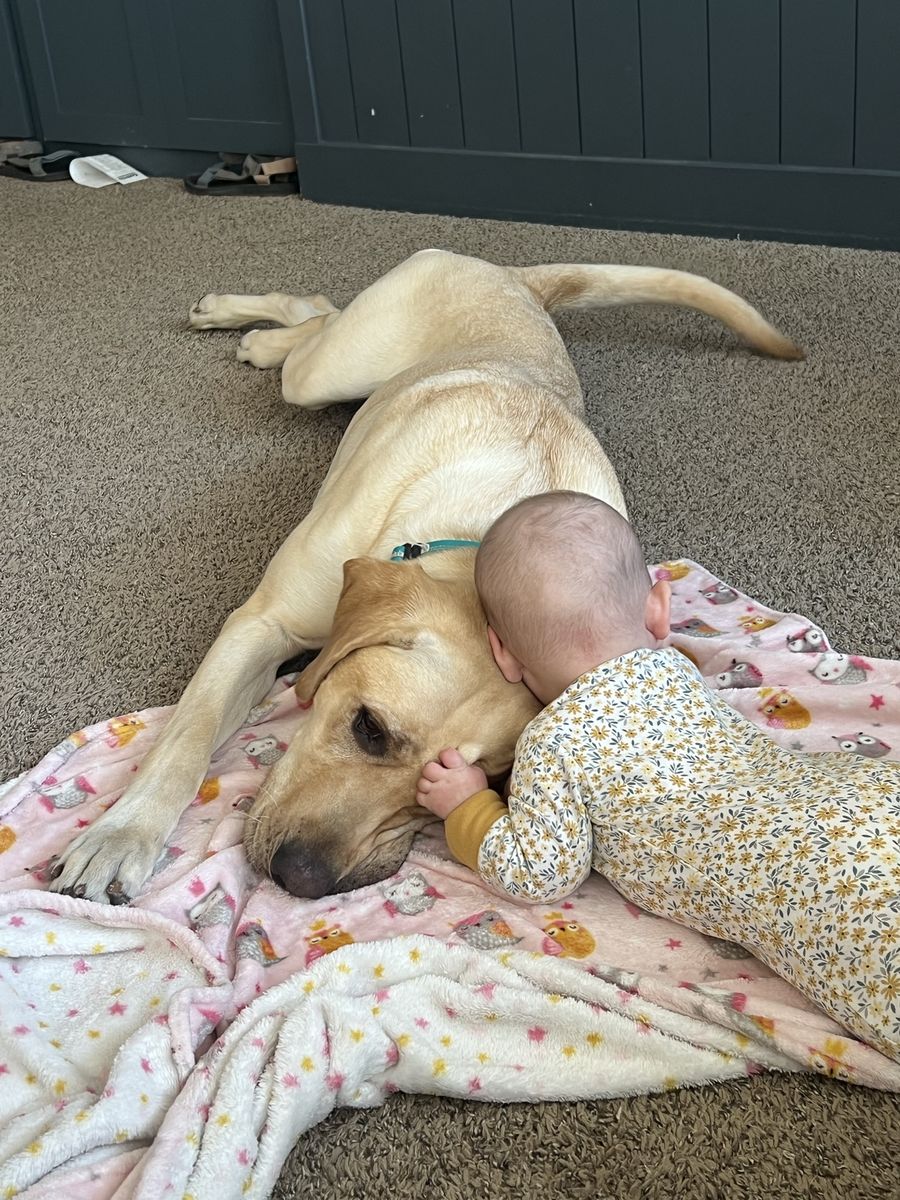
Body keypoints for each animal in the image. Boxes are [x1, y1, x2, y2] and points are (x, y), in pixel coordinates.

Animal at [49, 249, 800, 903]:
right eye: (369, 729)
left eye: (492, 776)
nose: (302, 878)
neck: (475, 541)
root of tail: (510, 277)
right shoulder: (262, 623)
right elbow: (188, 735)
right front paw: (121, 836)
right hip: (329, 370)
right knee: (315, 319)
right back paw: (250, 328)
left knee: (318, 312)